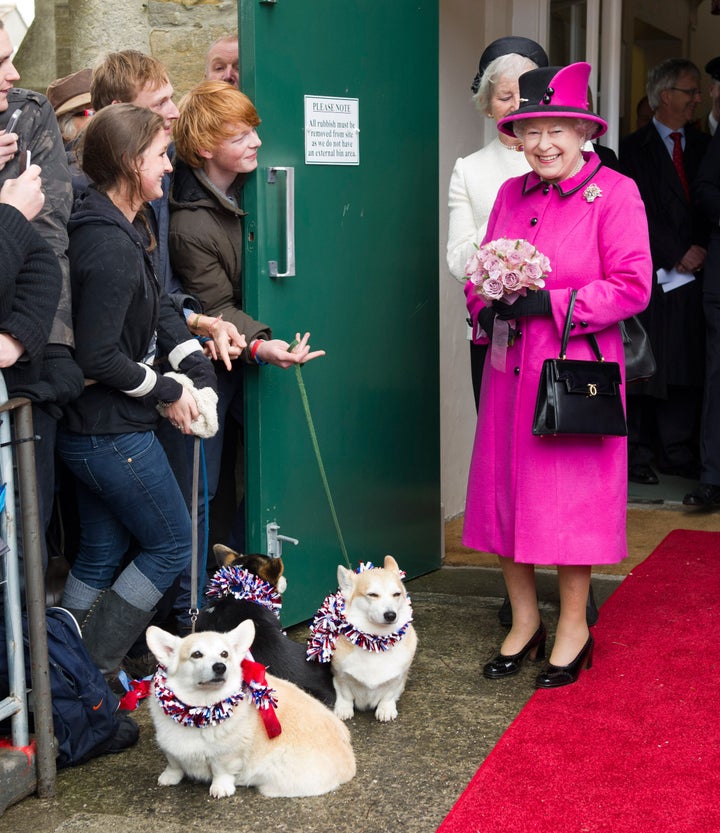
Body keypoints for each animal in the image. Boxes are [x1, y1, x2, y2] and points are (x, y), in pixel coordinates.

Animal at [147, 620, 358, 796]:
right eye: (196, 654)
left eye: (224, 654)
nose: (220, 667)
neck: (197, 710)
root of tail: (350, 763)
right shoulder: (170, 749)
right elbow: (174, 765)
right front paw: (169, 778)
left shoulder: (227, 755)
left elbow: (221, 771)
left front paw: (220, 788)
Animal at [308, 560, 416, 720]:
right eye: (372, 595)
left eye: (396, 594)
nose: (391, 615)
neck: (376, 642)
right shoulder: (340, 676)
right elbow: (345, 694)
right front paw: (344, 709)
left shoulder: (398, 678)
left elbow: (389, 694)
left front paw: (386, 709)